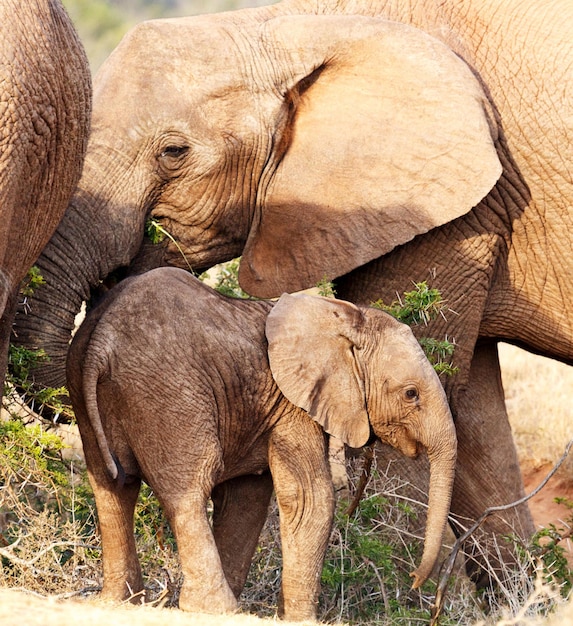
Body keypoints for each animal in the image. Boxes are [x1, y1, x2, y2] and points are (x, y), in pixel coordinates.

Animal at [66, 266, 456, 620]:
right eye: (411, 394)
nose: (415, 581)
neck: (342, 318)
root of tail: (101, 339)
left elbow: (247, 499)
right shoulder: (292, 406)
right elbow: (310, 499)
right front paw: (300, 619)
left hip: (87, 388)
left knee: (113, 486)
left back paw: (120, 600)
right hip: (167, 391)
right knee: (188, 489)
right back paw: (213, 609)